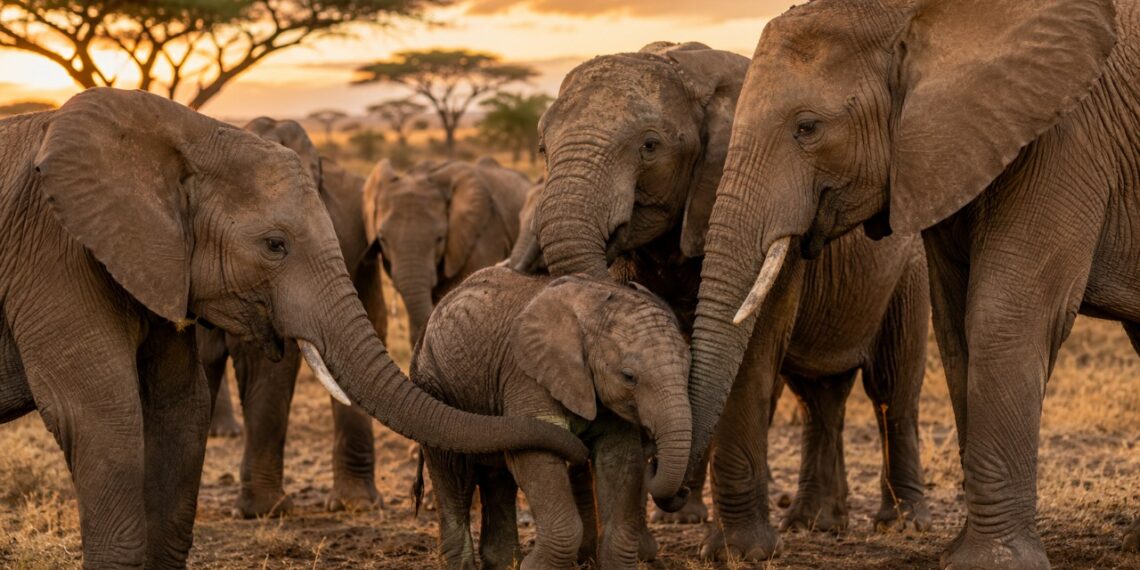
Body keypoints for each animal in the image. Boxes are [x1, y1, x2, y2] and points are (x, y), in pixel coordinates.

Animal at [411, 267, 691, 569]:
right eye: (629, 377)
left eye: (689, 367)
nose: (656, 459)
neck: (592, 310)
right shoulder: (525, 376)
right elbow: (536, 457)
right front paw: (534, 566)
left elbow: (619, 459)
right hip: (435, 382)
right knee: (452, 472)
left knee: (497, 475)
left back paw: (504, 563)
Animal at [517, 40, 931, 556]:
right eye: (542, 148)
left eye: (650, 146)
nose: (662, 477)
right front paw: (652, 543)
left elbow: (748, 356)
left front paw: (741, 553)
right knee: (818, 396)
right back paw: (814, 523)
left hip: (908, 268)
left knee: (891, 388)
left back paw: (902, 524)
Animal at [689, 0, 1139, 567]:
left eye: (807, 127)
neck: (910, 16)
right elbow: (955, 324)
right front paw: (957, 554)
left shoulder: (1066, 136)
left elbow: (1003, 313)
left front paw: (985, 563)